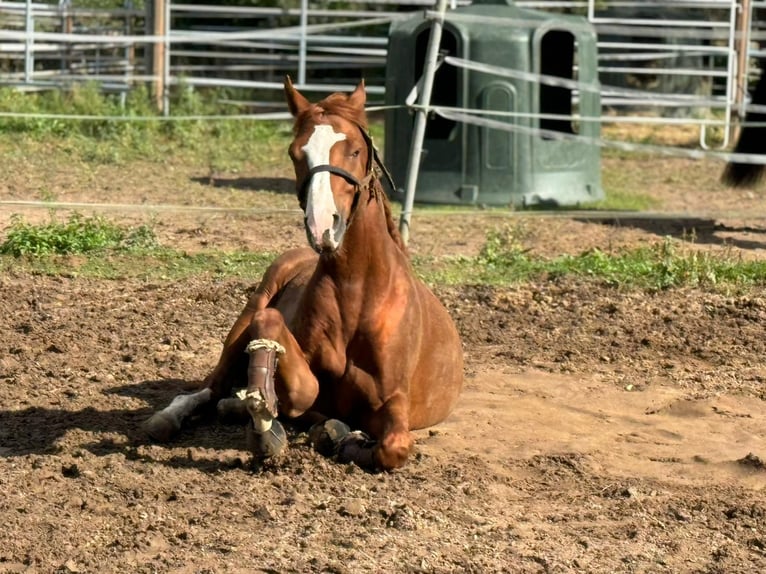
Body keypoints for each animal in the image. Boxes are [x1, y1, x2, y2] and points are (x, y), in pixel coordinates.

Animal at [145, 77, 468, 472]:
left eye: (356, 150)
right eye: (296, 153)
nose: (322, 226)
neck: (357, 289)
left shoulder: (393, 400)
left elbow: (392, 447)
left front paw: (341, 437)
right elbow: (300, 389)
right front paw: (270, 421)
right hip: (243, 320)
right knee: (210, 386)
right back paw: (178, 415)